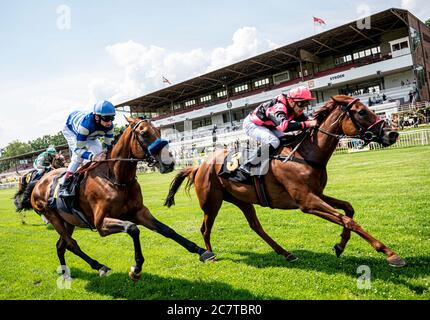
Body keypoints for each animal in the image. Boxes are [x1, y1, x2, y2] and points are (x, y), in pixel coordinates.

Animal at [165, 95, 406, 268]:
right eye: (362, 112)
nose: (392, 134)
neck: (305, 154)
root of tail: (199, 165)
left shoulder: (316, 194)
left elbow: (348, 209)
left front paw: (339, 245)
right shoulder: (307, 202)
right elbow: (348, 220)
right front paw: (390, 254)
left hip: (241, 199)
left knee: (256, 227)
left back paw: (286, 253)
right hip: (211, 202)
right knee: (205, 228)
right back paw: (211, 254)